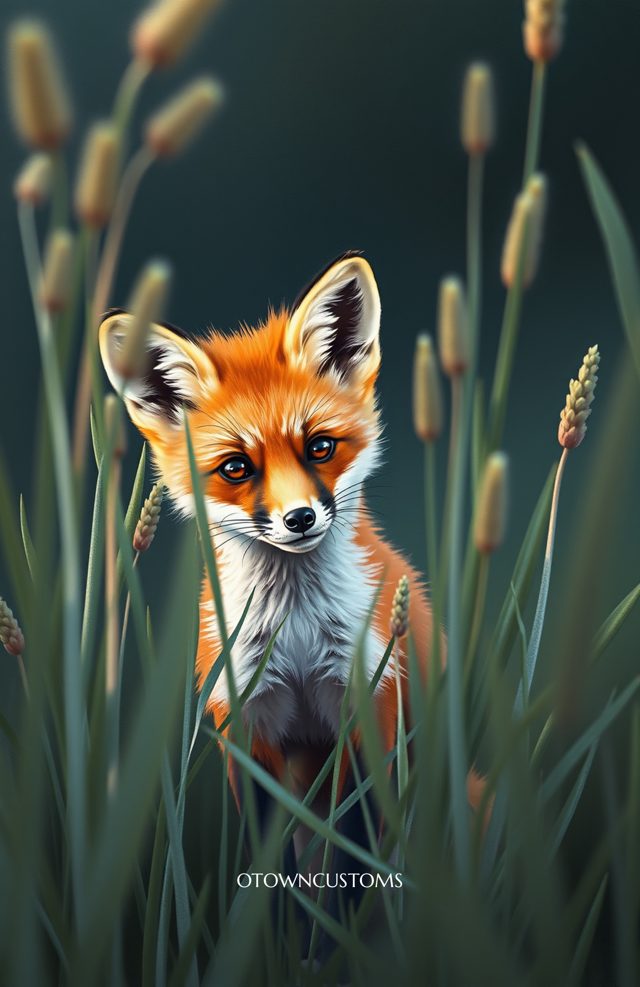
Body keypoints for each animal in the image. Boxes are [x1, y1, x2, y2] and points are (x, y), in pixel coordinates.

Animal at [99, 252, 482, 918]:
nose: (300, 518)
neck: (298, 634)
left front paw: (337, 935)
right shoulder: (246, 723)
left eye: (320, 447)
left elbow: (351, 863)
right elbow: (273, 876)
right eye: (236, 468)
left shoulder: (369, 706)